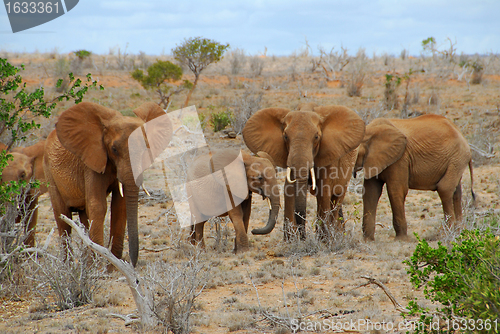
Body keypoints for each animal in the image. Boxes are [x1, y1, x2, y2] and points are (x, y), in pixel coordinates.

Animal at [42, 101, 170, 266]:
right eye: (114, 149)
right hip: (49, 172)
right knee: (63, 219)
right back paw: (67, 267)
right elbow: (98, 206)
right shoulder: (92, 162)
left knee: (84, 217)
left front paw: (112, 268)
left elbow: (120, 207)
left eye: (146, 148)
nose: (132, 263)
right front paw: (99, 268)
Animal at [244, 103, 366, 239]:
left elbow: (324, 190)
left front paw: (323, 240)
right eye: (285, 137)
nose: (253, 231)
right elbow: (289, 189)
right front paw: (291, 240)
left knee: (337, 196)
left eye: (316, 137)